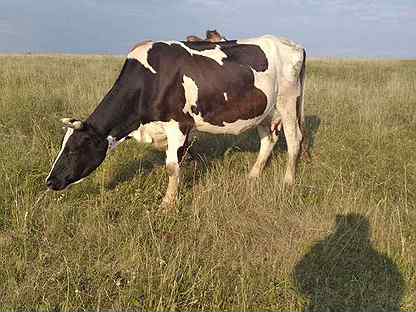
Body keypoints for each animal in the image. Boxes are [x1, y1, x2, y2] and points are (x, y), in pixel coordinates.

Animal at [45, 35, 308, 208]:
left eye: (73, 149)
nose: (50, 181)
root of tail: (293, 44)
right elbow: (175, 158)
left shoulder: (178, 124)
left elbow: (171, 166)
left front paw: (167, 203)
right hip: (264, 109)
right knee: (269, 139)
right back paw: (253, 175)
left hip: (288, 101)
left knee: (294, 140)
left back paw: (288, 181)